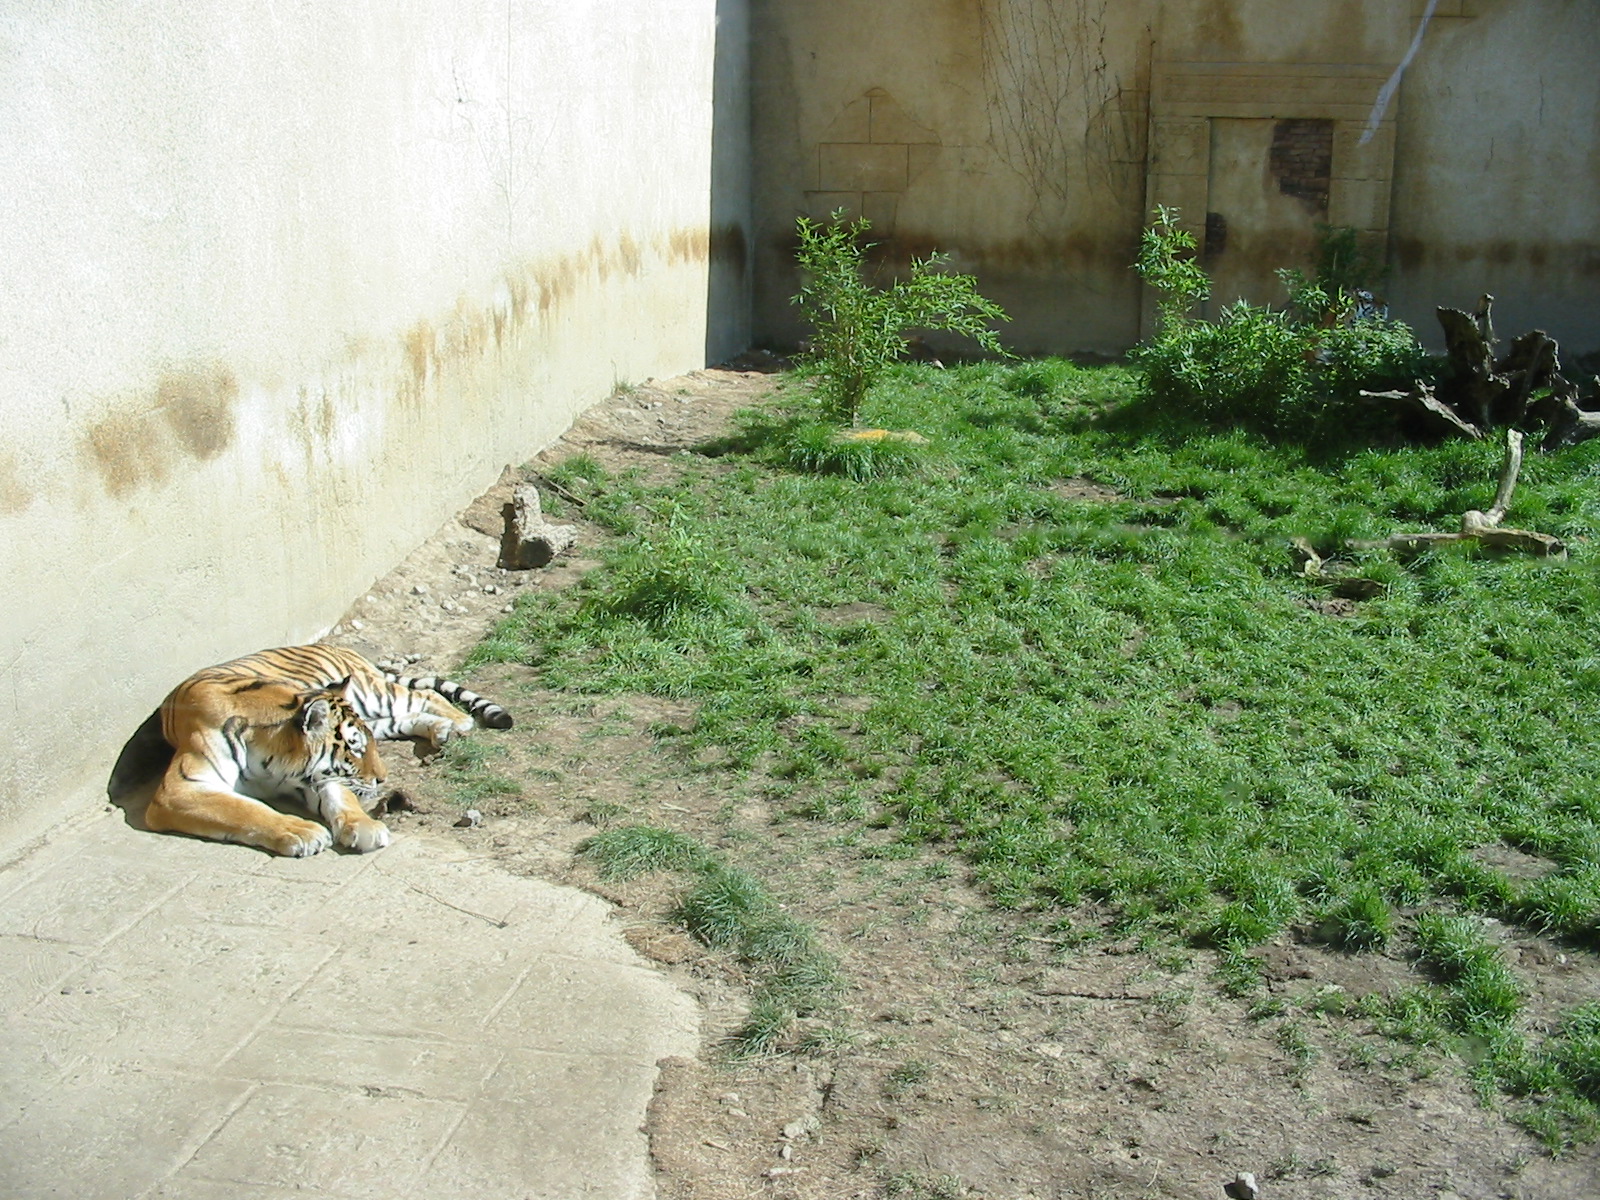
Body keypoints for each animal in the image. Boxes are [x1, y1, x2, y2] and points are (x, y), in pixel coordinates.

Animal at [122, 645, 513, 857]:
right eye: (354, 749)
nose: (382, 779)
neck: (266, 760)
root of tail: (344, 649)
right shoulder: (179, 790)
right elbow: (243, 810)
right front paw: (303, 833)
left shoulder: (316, 776)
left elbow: (344, 799)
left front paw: (365, 827)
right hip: (376, 712)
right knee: (409, 712)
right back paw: (443, 729)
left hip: (372, 693)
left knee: (425, 694)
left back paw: (459, 723)